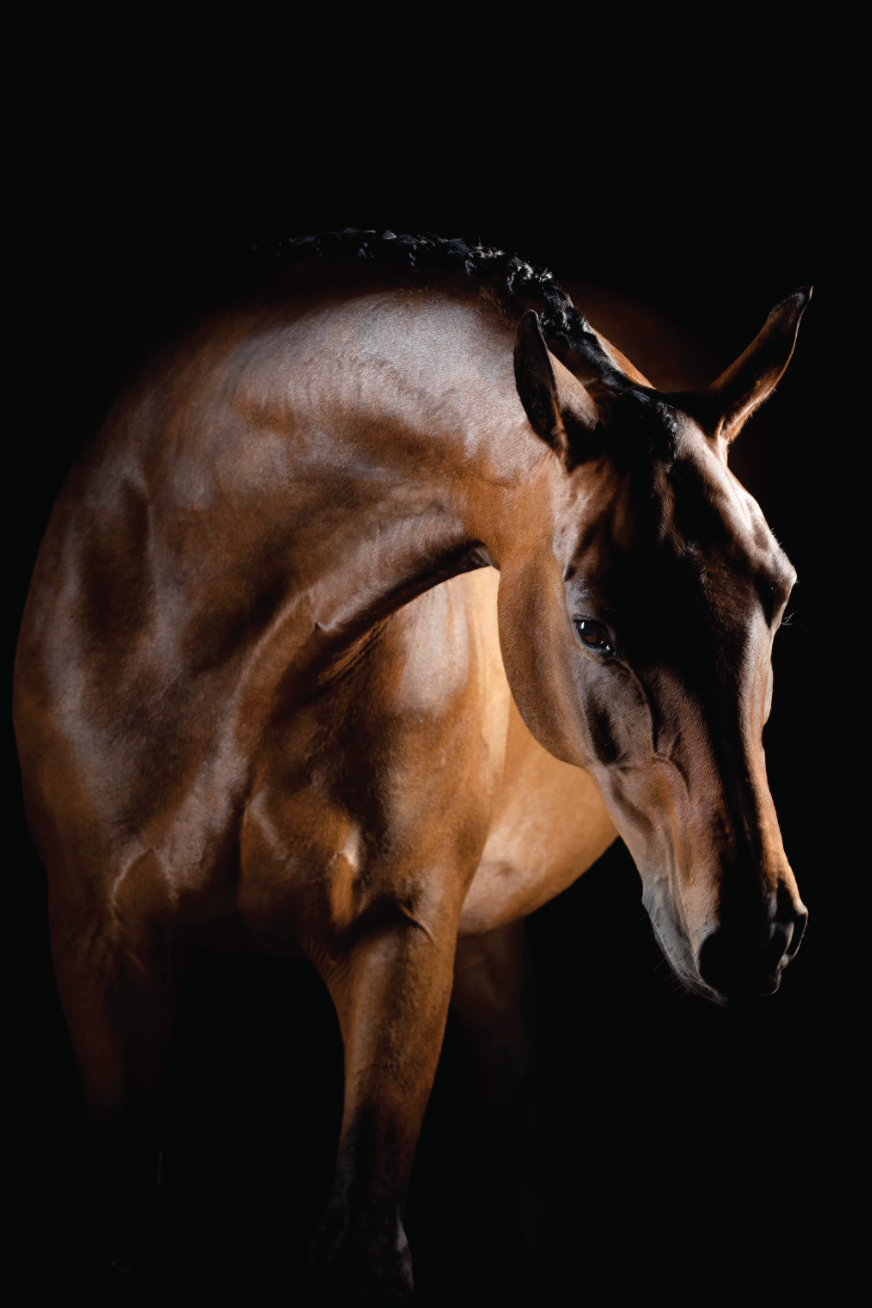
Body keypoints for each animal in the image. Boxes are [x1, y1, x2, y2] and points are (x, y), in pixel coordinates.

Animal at [13, 231, 811, 1304]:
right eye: (592, 626)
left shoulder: (399, 937)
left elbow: (362, 1241)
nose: (756, 936)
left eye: (781, 594)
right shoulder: (99, 945)